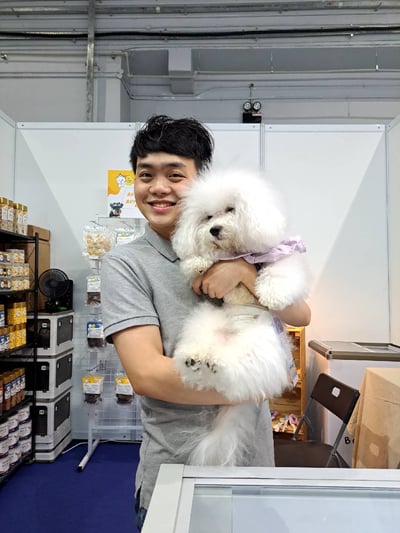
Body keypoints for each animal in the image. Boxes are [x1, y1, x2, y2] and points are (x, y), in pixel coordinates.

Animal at [170, 167, 310, 466]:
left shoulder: (281, 256)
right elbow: (201, 259)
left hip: (257, 344)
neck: (238, 251)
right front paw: (199, 261)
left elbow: (279, 273)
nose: (214, 229)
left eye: (231, 209)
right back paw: (195, 360)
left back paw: (216, 364)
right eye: (207, 217)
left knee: (235, 368)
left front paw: (271, 294)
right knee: (203, 356)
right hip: (206, 323)